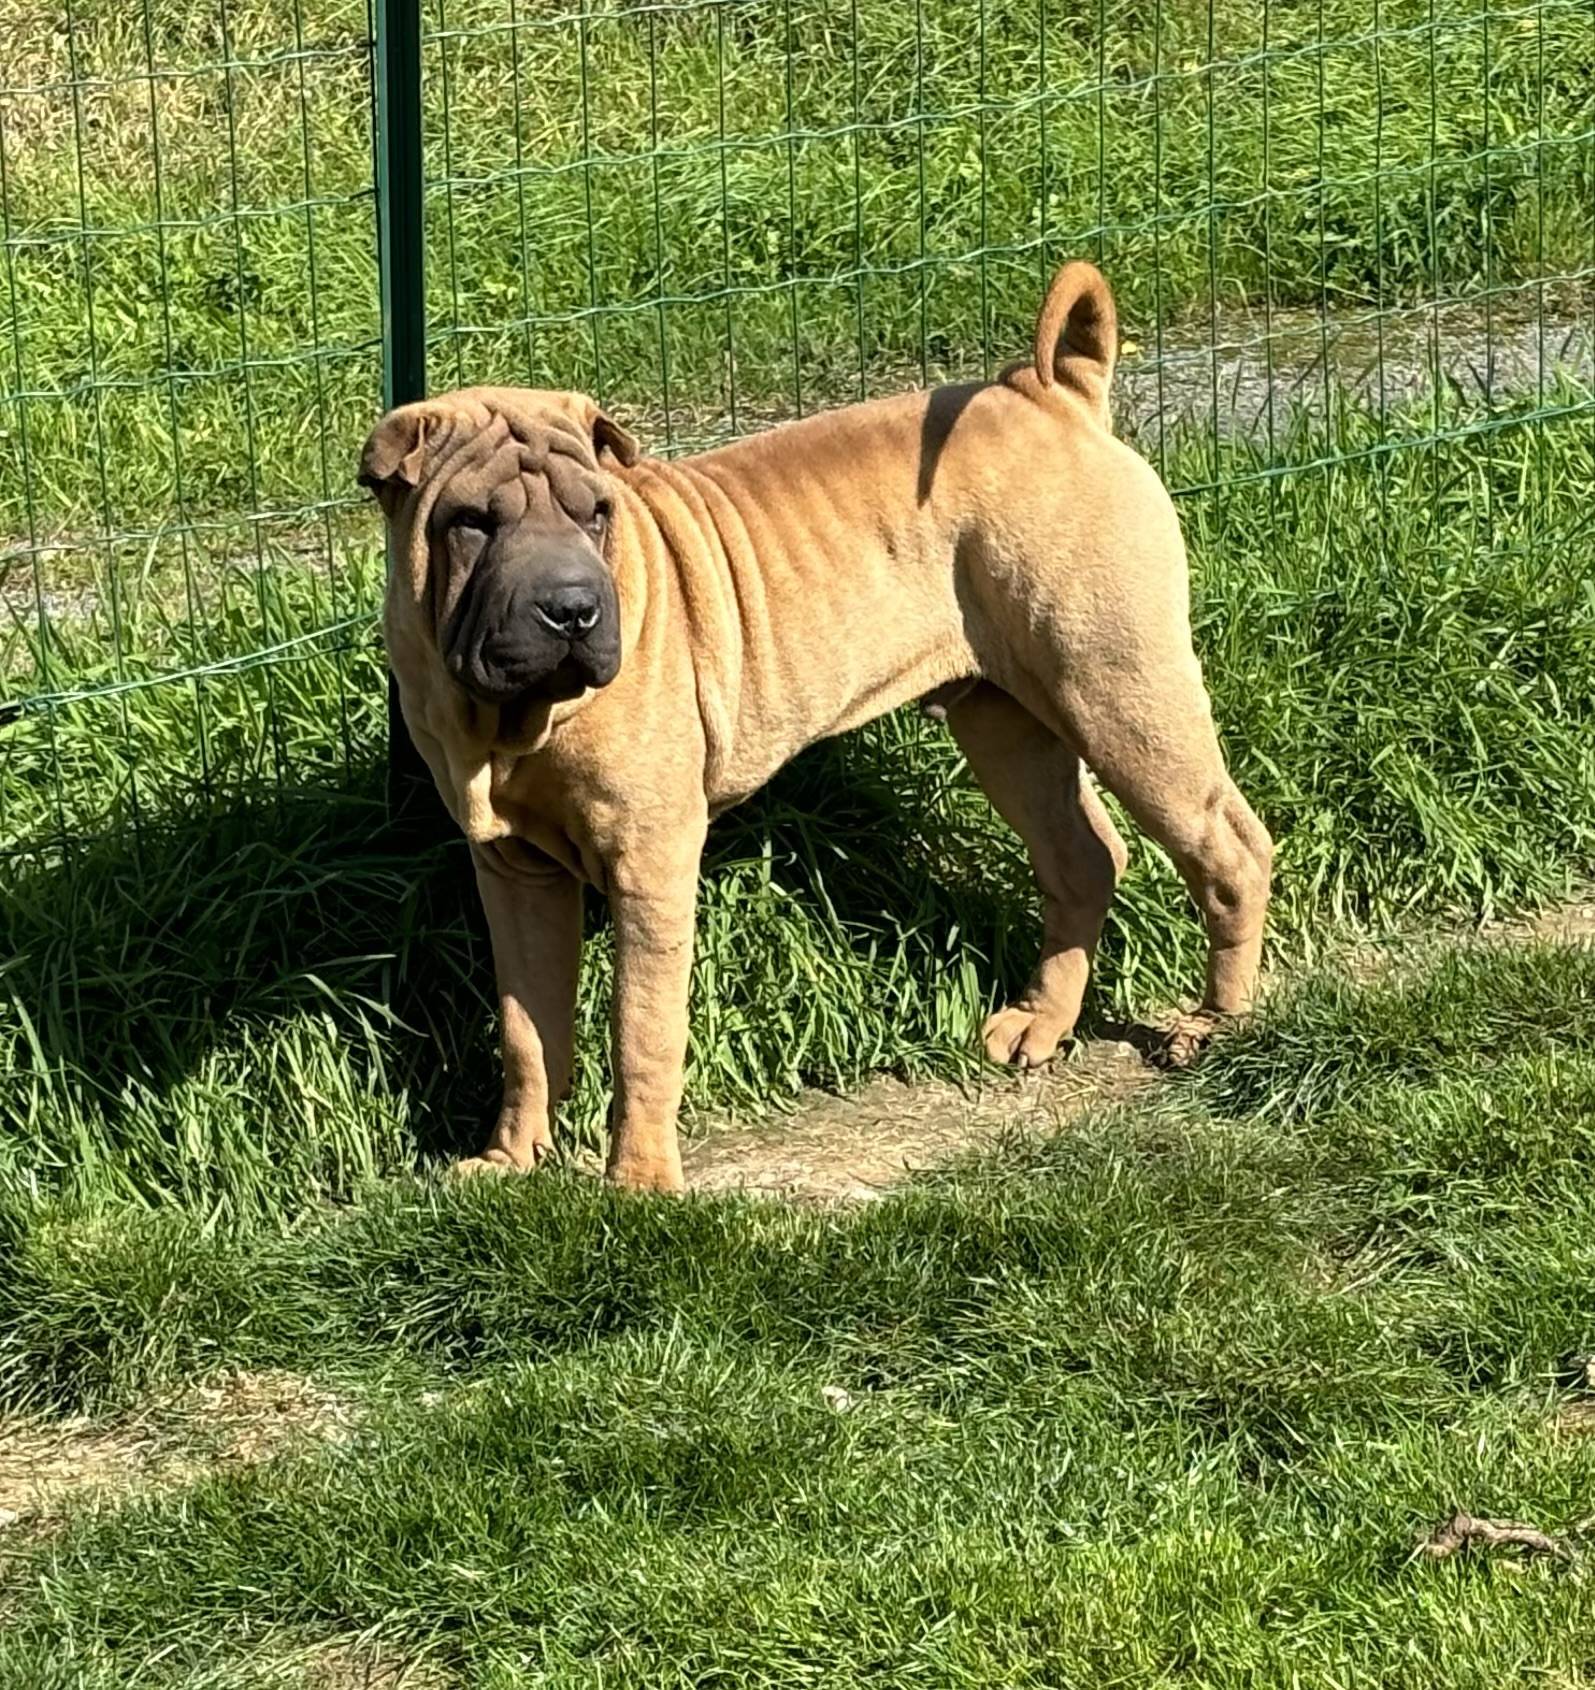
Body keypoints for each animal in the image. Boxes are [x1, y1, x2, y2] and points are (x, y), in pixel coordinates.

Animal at [358, 260, 1270, 1189]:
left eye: (596, 514)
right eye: (472, 522)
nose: (572, 609)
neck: (512, 722)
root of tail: (1050, 393)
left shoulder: (651, 859)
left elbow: (641, 1031)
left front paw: (639, 1183)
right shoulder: (511, 868)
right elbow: (526, 1029)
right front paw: (510, 1161)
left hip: (1118, 689)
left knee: (1229, 847)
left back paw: (1216, 1025)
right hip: (1004, 724)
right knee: (1083, 857)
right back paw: (1038, 1023)